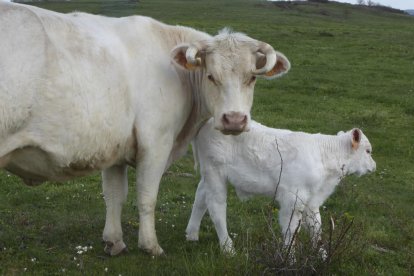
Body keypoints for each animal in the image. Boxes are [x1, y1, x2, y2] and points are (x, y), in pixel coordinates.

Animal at [0, 2, 292, 256]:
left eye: (252, 77)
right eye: (211, 76)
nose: (234, 120)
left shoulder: (114, 147)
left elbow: (114, 196)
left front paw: (114, 242)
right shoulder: (156, 143)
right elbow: (147, 196)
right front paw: (150, 246)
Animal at [186, 118, 376, 254]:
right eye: (368, 151)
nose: (374, 167)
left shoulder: (312, 200)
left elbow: (316, 228)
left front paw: (322, 255)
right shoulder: (293, 198)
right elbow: (291, 230)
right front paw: (289, 258)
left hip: (208, 175)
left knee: (200, 198)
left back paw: (191, 235)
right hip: (214, 171)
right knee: (216, 206)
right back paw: (228, 248)